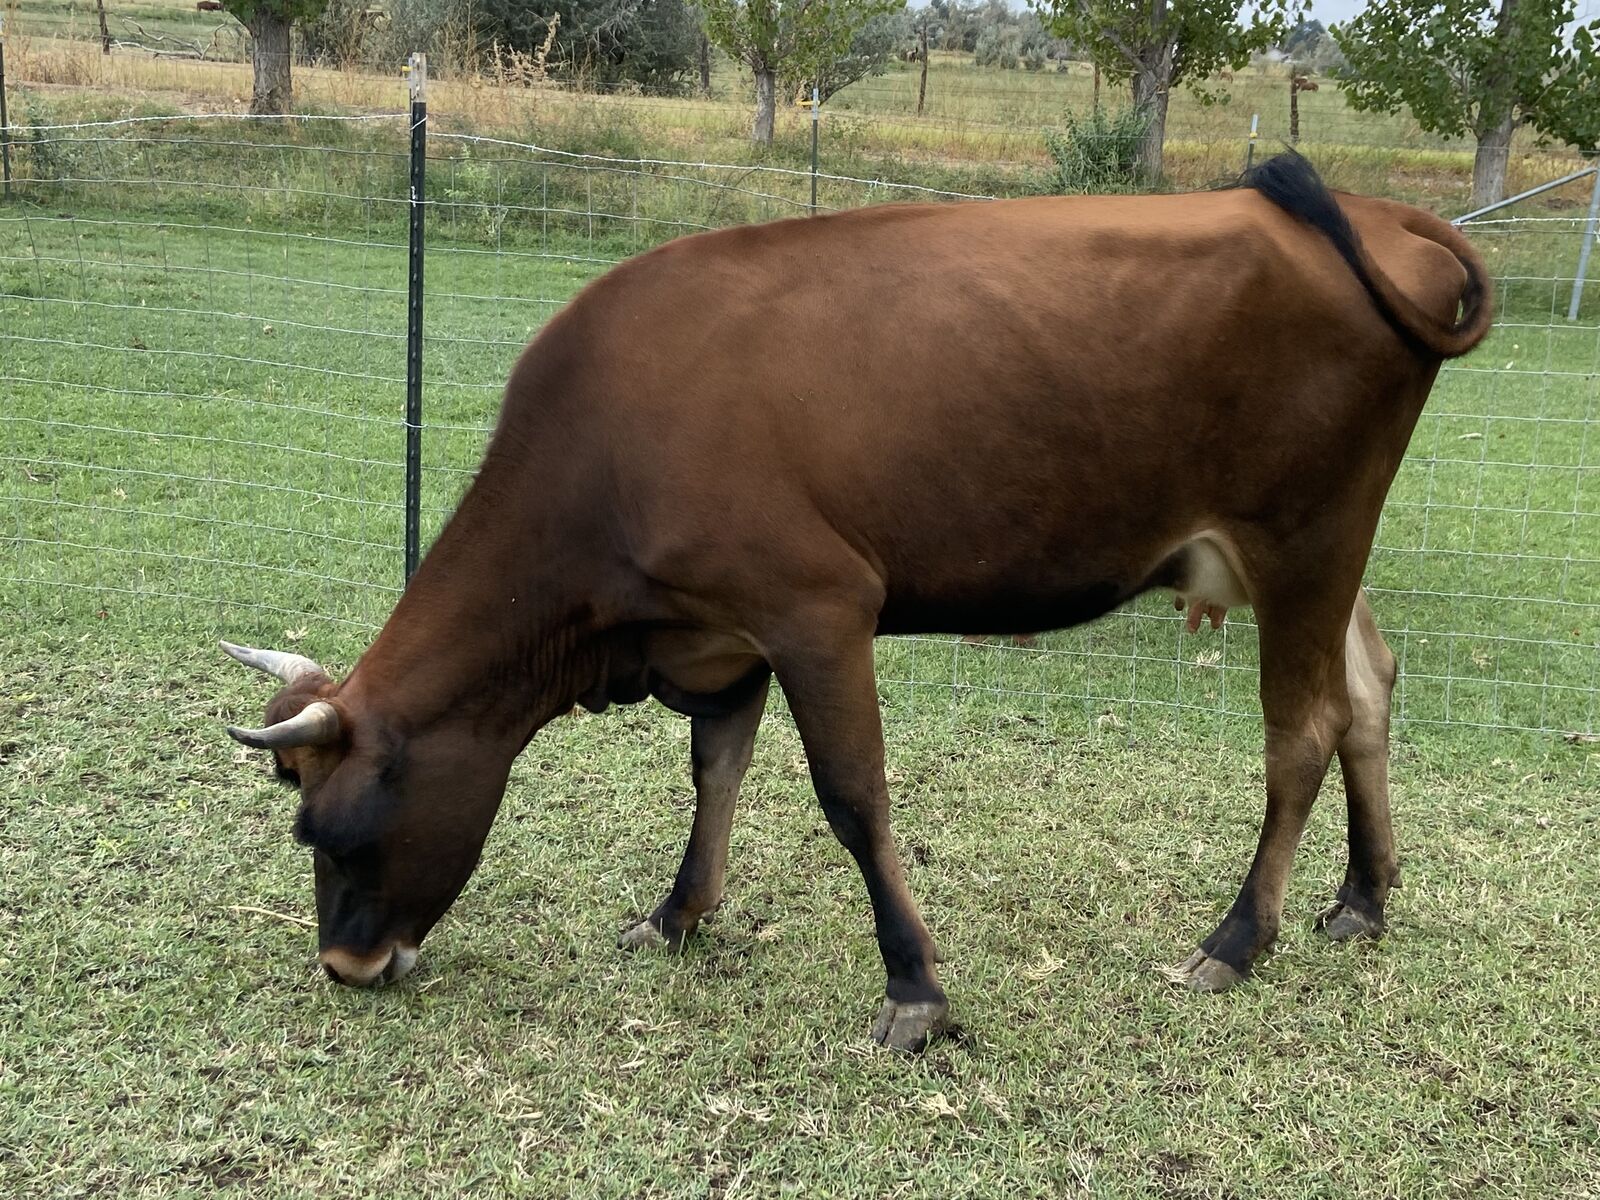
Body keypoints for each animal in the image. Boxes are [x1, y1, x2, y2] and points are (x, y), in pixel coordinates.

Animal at [221, 154, 1491, 1052]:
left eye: (332, 830)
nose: (346, 969)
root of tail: (1376, 216)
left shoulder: (816, 606)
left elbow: (851, 798)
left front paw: (915, 991)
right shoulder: (719, 634)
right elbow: (716, 774)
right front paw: (676, 916)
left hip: (1304, 534)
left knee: (1303, 730)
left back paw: (1234, 939)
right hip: (1319, 549)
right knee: (1368, 689)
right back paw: (1362, 900)